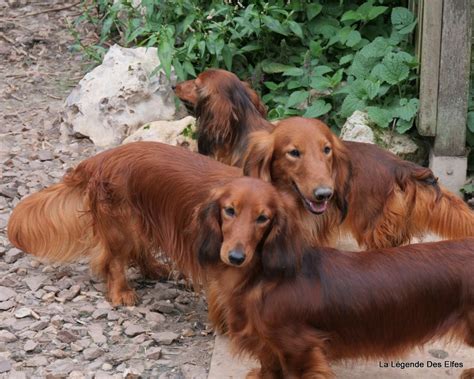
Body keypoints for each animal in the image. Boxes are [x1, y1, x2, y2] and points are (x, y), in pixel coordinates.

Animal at [7, 141, 288, 308]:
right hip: (122, 225)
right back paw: (121, 293)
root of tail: (100, 158)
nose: (236, 257)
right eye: (229, 211)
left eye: (262, 218)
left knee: (138, 250)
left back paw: (155, 269)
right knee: (115, 261)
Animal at [194, 203, 472, 378]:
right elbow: (269, 364)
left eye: (263, 218)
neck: (264, 279)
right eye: (229, 211)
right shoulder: (267, 342)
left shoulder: (300, 348)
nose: (235, 256)